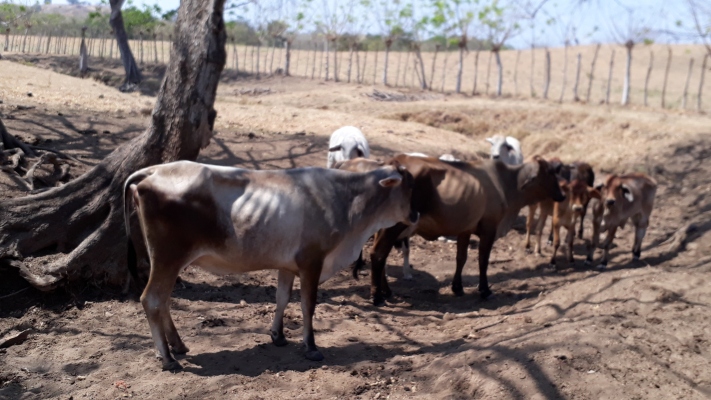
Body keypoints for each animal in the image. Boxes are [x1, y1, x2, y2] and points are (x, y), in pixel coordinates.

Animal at [126, 159, 420, 368]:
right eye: (408, 186)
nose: (416, 214)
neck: (345, 200)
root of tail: (154, 170)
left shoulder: (287, 266)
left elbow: (282, 298)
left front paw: (278, 336)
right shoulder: (311, 262)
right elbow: (307, 305)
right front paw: (311, 347)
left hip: (164, 262)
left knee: (163, 301)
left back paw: (177, 346)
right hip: (168, 258)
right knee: (152, 299)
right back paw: (168, 358)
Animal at [368, 155, 568, 304]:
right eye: (550, 173)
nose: (562, 195)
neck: (508, 183)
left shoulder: (465, 230)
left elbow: (461, 258)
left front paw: (457, 287)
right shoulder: (489, 228)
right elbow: (483, 260)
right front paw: (485, 290)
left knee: (381, 255)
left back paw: (386, 291)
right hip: (394, 226)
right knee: (378, 254)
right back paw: (377, 296)